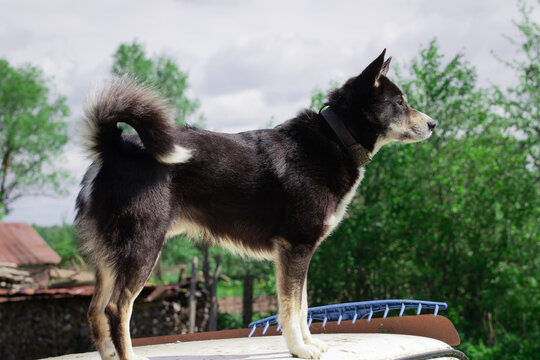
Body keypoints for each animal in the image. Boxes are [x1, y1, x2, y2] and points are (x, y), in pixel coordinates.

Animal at [76, 48, 436, 360]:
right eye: (400, 103)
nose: (433, 124)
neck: (336, 138)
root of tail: (115, 148)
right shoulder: (295, 249)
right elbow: (291, 309)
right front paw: (299, 349)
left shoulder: (298, 255)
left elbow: (302, 307)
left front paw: (309, 344)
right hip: (143, 248)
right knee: (116, 308)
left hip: (109, 259)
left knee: (95, 310)